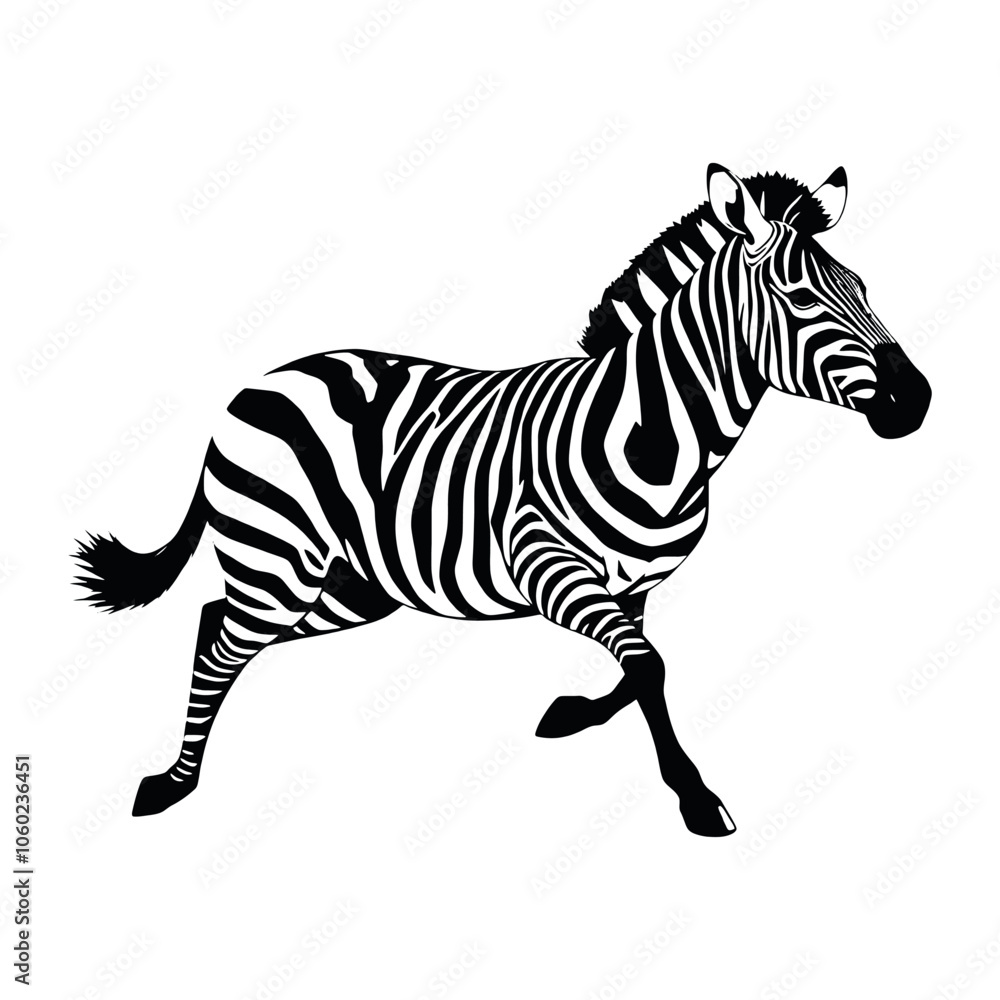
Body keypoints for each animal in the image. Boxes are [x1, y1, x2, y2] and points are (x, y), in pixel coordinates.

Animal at [74, 164, 930, 837]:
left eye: (861, 287)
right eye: (797, 295)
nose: (915, 399)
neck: (653, 435)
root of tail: (257, 384)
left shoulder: (635, 586)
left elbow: (641, 670)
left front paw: (577, 714)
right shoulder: (546, 565)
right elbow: (649, 668)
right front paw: (696, 798)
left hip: (348, 585)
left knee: (213, 622)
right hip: (280, 561)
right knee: (221, 643)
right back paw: (173, 783)